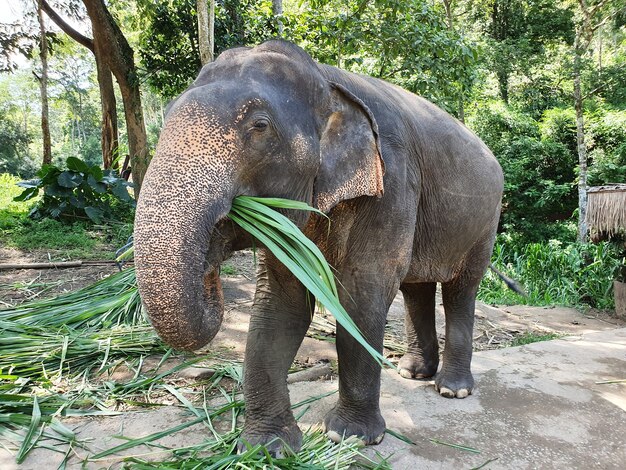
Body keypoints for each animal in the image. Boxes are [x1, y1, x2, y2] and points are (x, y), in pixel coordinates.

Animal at [135, 40, 502, 456]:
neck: (328, 80)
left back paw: (452, 389)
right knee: (416, 288)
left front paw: (351, 436)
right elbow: (282, 302)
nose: (209, 271)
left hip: (486, 220)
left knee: (461, 289)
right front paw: (268, 447)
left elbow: (362, 293)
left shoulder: (393, 181)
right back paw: (412, 372)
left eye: (259, 126)